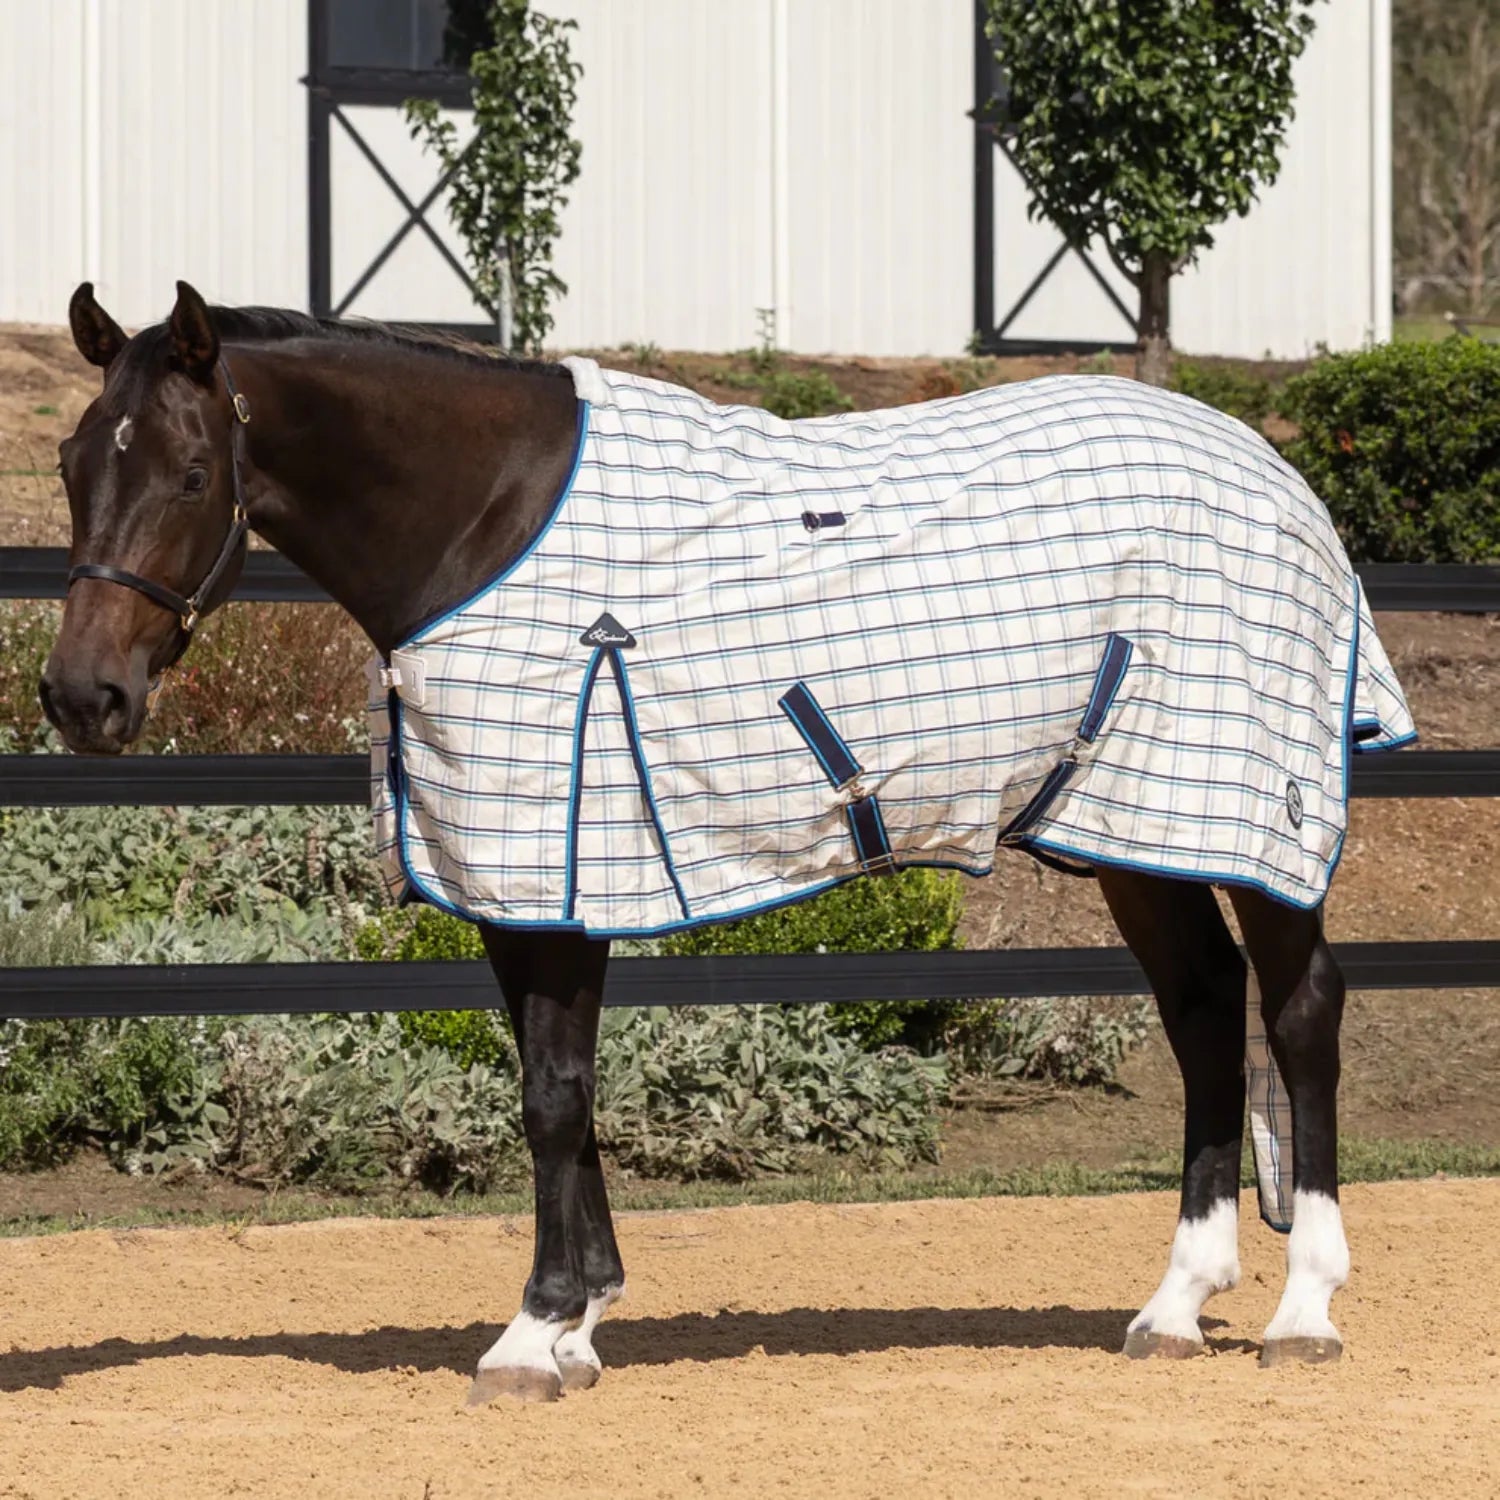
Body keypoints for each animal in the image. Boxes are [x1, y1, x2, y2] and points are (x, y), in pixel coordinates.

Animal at [42, 280, 1411, 1403]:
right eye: (68, 464)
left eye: (186, 473)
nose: (79, 698)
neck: (485, 524)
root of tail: (1272, 470)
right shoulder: (529, 888)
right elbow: (559, 1089)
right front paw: (581, 1323)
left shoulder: (561, 873)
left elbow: (551, 1096)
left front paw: (534, 1334)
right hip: (1134, 825)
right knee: (1202, 1009)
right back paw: (1174, 1308)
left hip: (1250, 818)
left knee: (1300, 1013)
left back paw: (1305, 1312)